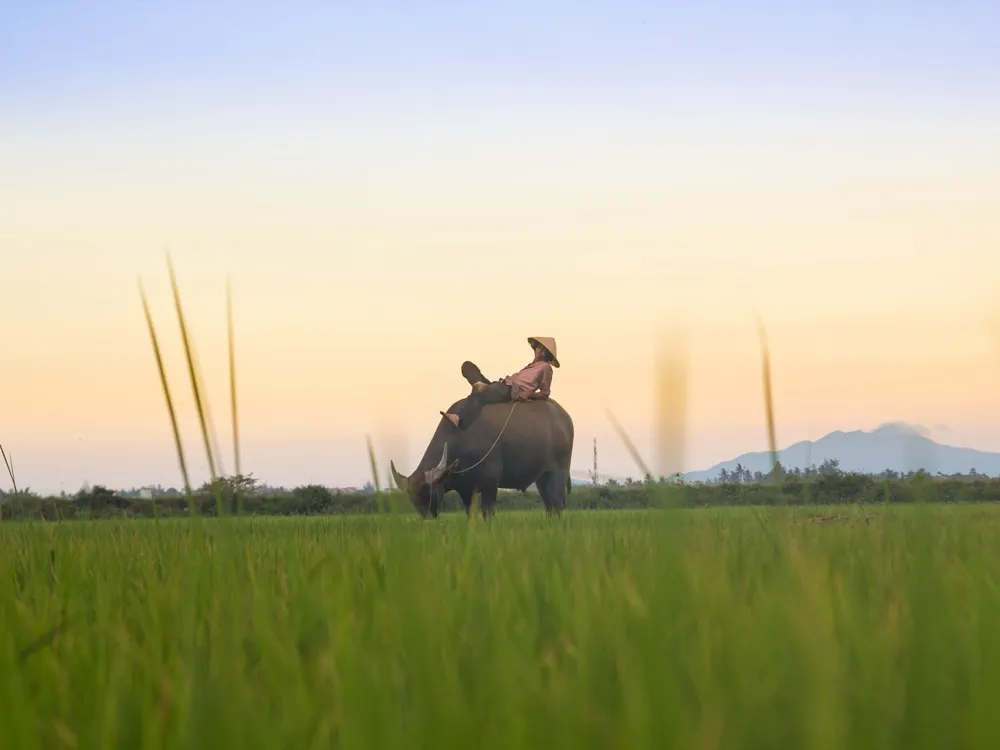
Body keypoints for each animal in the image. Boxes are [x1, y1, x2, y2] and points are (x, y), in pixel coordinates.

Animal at [392, 400, 580, 516]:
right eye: (412, 497)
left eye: (429, 492)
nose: (427, 516)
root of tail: (565, 418)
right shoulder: (465, 489)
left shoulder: (490, 483)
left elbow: (487, 512)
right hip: (541, 477)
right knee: (550, 506)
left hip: (558, 472)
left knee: (557, 504)